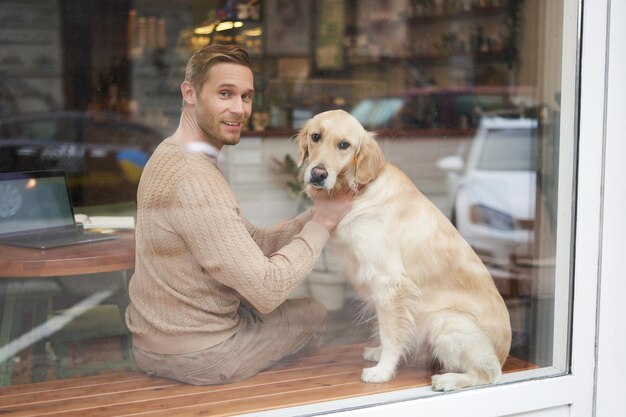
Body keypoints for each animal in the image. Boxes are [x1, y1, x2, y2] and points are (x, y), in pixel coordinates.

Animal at [294, 108, 510, 390]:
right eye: (316, 137)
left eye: (344, 145)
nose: (318, 174)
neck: (359, 189)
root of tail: (504, 354)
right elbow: (388, 330)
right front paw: (378, 354)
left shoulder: (388, 282)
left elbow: (390, 334)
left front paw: (382, 371)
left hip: (445, 320)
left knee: (490, 374)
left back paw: (448, 379)